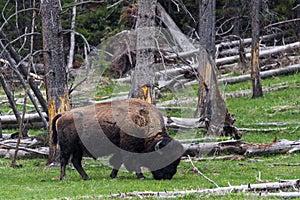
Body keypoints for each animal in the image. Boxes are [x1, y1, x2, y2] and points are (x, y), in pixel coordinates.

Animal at [52, 98, 183, 180]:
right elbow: (132, 162)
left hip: (78, 148)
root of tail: (64, 114)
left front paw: (113, 175)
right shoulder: (129, 149)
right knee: (64, 160)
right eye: (164, 158)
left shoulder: (120, 148)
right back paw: (64, 178)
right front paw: (141, 176)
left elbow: (117, 162)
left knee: (76, 161)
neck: (144, 120)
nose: (168, 176)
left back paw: (86, 177)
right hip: (67, 146)